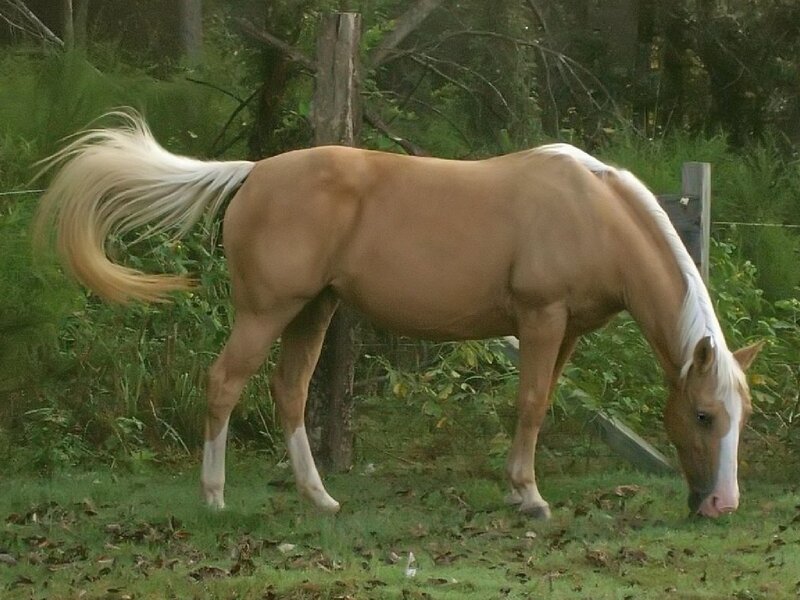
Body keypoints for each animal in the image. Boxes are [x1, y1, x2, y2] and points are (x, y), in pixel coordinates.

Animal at [35, 111, 763, 519]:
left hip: (313, 311)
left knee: (288, 391)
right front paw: (528, 497)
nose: (723, 504)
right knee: (224, 384)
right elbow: (530, 404)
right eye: (704, 415)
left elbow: (543, 401)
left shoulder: (566, 333)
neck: (595, 212)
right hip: (266, 312)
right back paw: (214, 499)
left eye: (741, 416)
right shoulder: (540, 318)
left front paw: (519, 488)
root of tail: (254, 173)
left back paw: (319, 498)